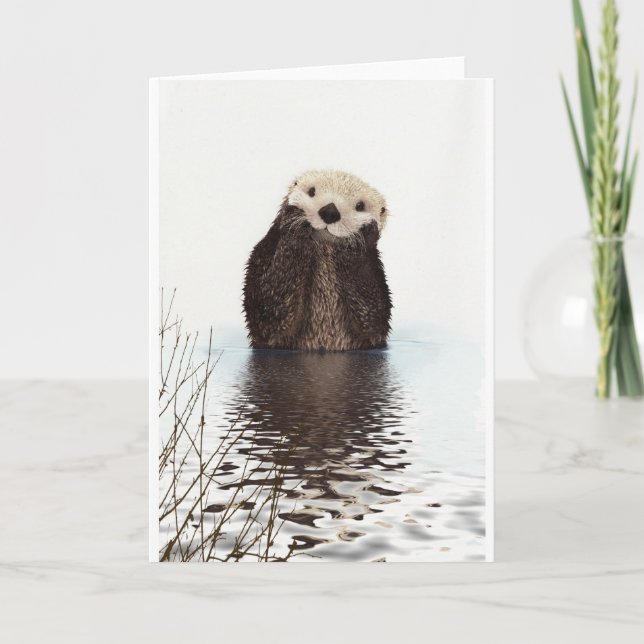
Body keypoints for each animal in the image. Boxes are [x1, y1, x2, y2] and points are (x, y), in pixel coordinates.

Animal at [243, 169, 392, 351]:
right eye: (311, 191)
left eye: (360, 206)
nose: (330, 211)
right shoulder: (263, 255)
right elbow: (268, 309)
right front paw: (295, 221)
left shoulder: (376, 276)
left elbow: (373, 316)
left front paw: (359, 237)